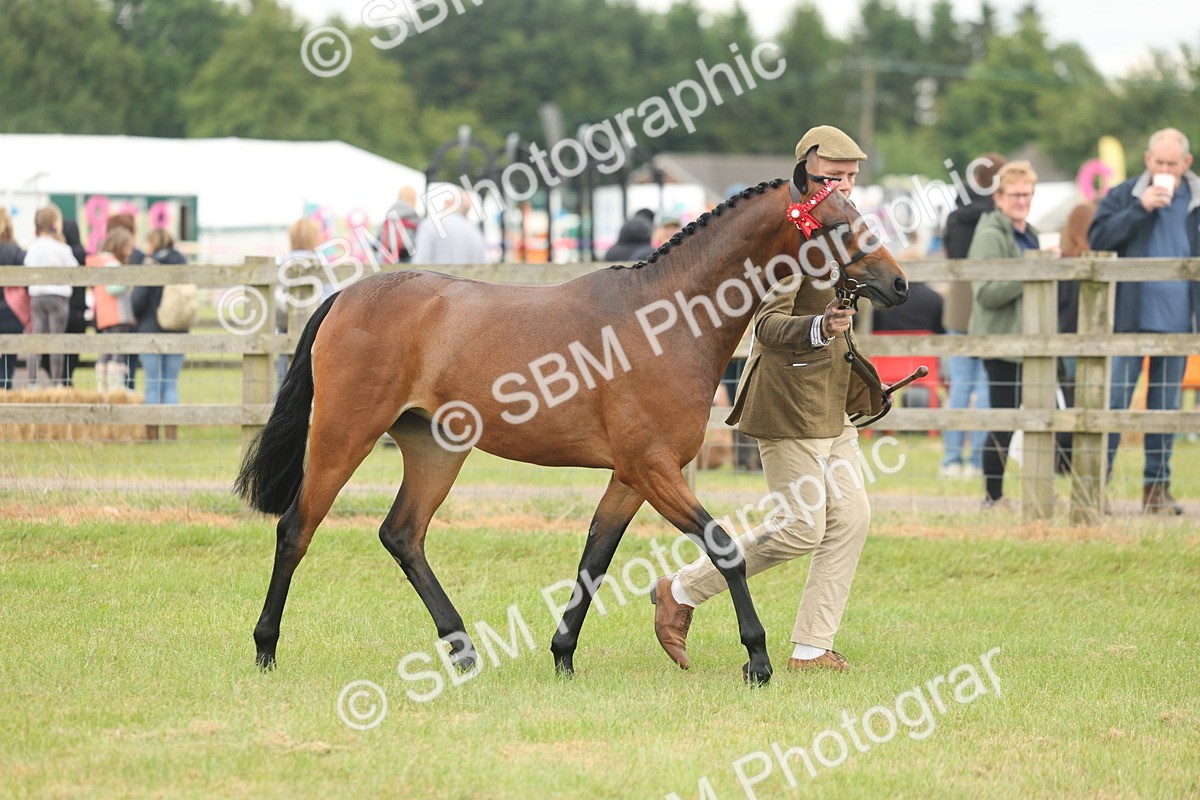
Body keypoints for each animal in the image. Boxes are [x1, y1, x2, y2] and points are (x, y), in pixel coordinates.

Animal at [235, 147, 910, 685]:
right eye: (838, 222)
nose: (899, 284)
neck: (667, 318)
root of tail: (347, 294)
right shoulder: (653, 468)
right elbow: (724, 549)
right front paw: (758, 659)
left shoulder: (632, 476)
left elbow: (596, 557)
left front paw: (563, 654)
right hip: (344, 433)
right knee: (296, 529)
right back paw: (266, 649)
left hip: (436, 449)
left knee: (402, 534)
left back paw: (463, 649)